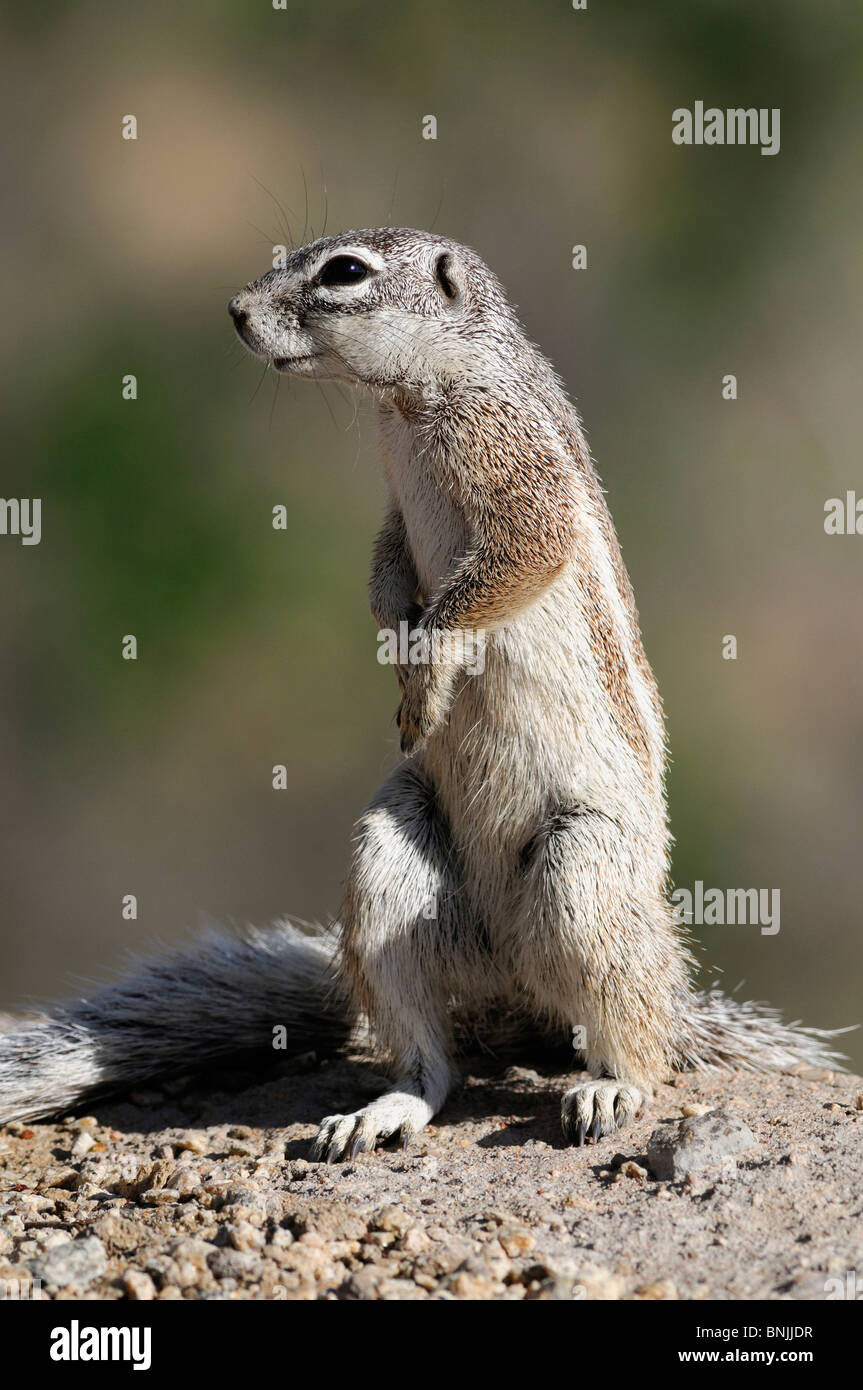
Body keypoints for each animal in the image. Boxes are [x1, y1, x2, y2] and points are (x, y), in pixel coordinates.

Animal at [0, 228, 842, 1156]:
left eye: (344, 272)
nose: (233, 311)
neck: (407, 403)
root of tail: (517, 993)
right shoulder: (395, 518)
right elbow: (384, 570)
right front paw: (396, 649)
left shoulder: (515, 473)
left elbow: (517, 556)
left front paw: (428, 675)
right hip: (388, 858)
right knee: (433, 1055)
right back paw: (385, 1109)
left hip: (582, 867)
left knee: (635, 1024)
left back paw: (610, 1086)